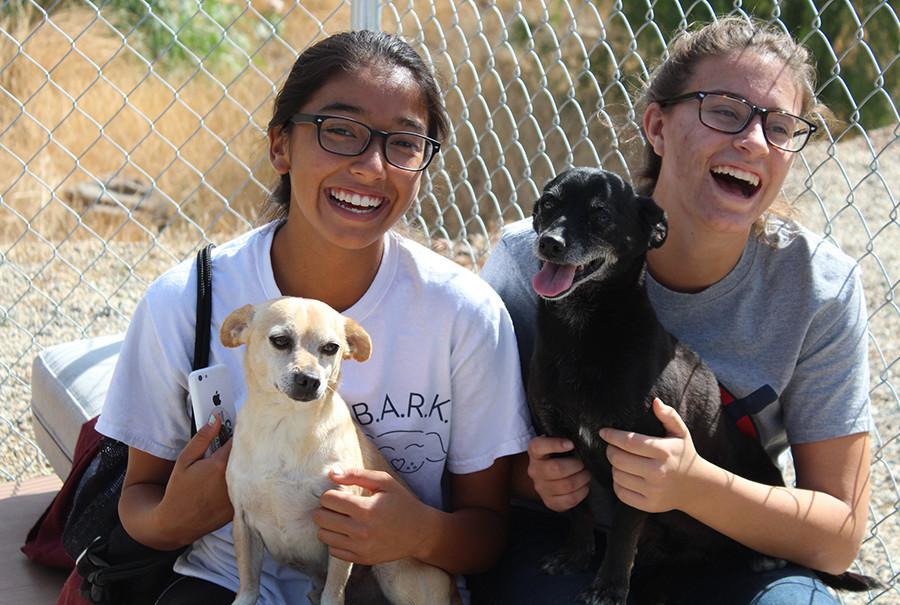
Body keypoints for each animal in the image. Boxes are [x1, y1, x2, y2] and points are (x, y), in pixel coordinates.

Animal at [219, 298, 458, 604]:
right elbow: (249, 584)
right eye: (280, 340)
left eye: (331, 348)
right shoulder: (243, 524)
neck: (287, 424)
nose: (310, 379)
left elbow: (333, 592)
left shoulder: (343, 528)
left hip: (395, 573)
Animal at [528, 166, 880, 604]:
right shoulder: (558, 442)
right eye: (548, 204)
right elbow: (576, 509)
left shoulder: (639, 459)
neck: (582, 331)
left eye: (601, 215)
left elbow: (624, 532)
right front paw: (575, 555)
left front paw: (608, 587)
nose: (549, 243)